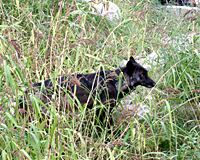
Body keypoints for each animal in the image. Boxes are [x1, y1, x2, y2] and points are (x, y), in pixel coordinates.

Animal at [18, 56, 156, 127]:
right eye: (142, 75)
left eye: (147, 73)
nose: (154, 83)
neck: (115, 82)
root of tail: (28, 90)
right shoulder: (104, 111)